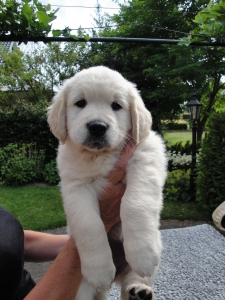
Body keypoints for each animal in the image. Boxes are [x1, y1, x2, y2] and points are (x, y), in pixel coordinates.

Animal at [47, 66, 167, 300]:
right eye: (80, 103)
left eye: (116, 106)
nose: (97, 127)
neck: (99, 155)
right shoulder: (75, 184)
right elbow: (89, 224)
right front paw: (99, 270)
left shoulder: (145, 157)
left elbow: (134, 204)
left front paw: (142, 254)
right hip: (81, 285)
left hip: (157, 242)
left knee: (132, 279)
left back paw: (138, 290)